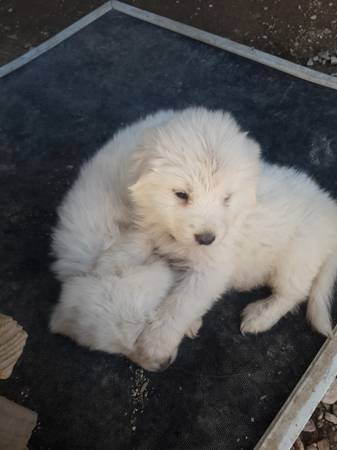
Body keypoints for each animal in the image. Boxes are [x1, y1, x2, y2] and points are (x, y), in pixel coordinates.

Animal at [51, 107, 336, 370]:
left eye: (226, 198)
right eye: (181, 194)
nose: (206, 238)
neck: (175, 238)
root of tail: (329, 210)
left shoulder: (209, 271)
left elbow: (180, 306)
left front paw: (156, 344)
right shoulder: (150, 221)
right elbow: (137, 239)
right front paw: (108, 264)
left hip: (296, 257)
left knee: (293, 293)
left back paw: (260, 316)